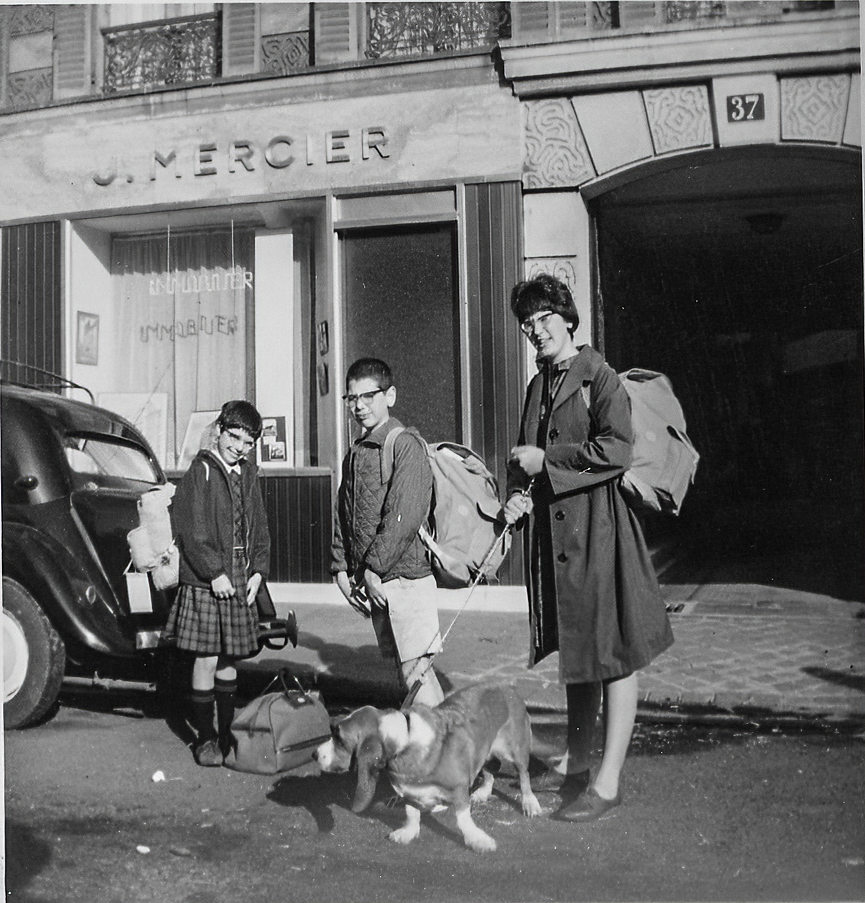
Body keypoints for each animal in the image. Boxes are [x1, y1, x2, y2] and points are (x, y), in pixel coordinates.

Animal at [310, 684, 540, 856]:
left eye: (339, 739)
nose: (314, 754)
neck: (405, 740)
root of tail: (506, 687)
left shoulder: (458, 790)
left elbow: (463, 819)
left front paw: (477, 840)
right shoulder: (409, 790)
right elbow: (411, 812)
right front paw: (409, 831)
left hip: (514, 750)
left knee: (524, 775)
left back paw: (530, 803)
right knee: (491, 770)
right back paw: (484, 791)